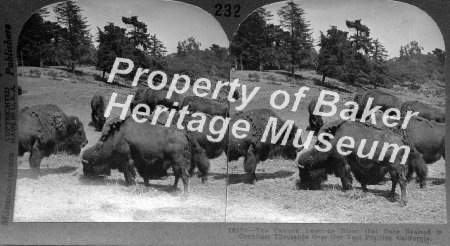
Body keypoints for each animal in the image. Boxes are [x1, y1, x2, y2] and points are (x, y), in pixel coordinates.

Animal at [298, 121, 426, 206]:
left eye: (304, 171)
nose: (303, 186)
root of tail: (401, 139)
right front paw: (355, 188)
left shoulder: (342, 161)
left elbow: (345, 175)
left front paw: (348, 189)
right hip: (391, 168)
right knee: (395, 181)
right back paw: (390, 195)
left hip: (396, 167)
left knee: (402, 181)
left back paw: (403, 202)